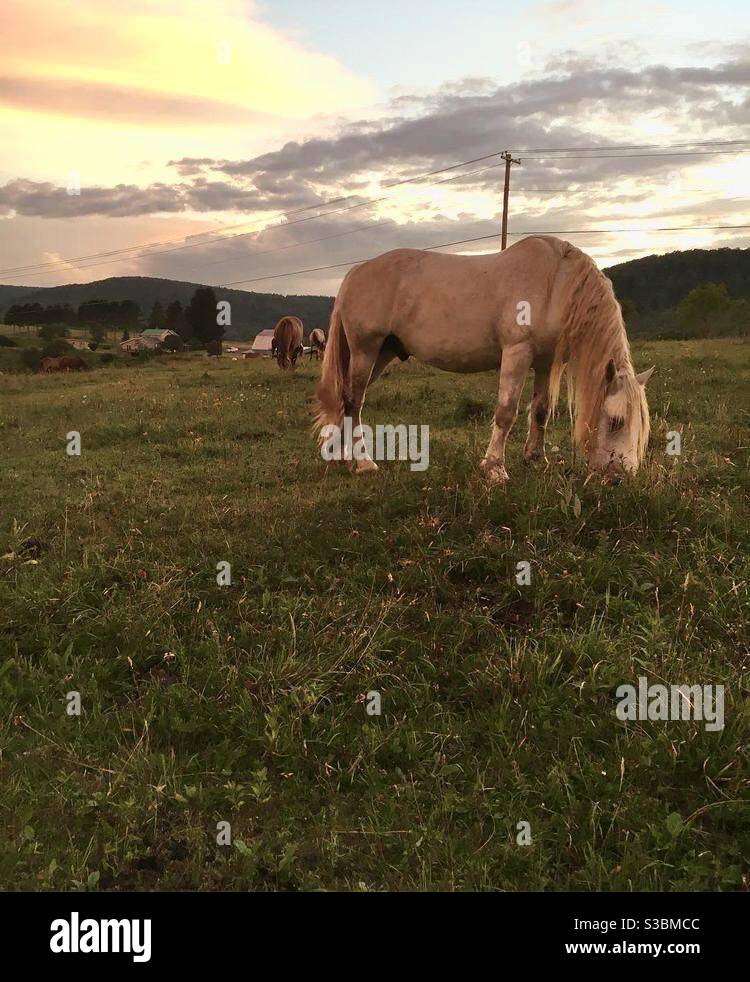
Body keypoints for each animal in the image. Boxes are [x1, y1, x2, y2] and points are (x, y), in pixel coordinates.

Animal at [314, 238, 656, 484]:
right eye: (616, 420)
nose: (621, 478)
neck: (555, 282)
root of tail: (355, 273)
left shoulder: (545, 362)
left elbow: (541, 411)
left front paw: (536, 459)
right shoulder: (517, 352)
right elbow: (506, 412)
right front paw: (495, 469)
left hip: (381, 354)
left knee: (346, 401)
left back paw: (344, 458)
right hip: (365, 351)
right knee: (353, 402)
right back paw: (363, 463)